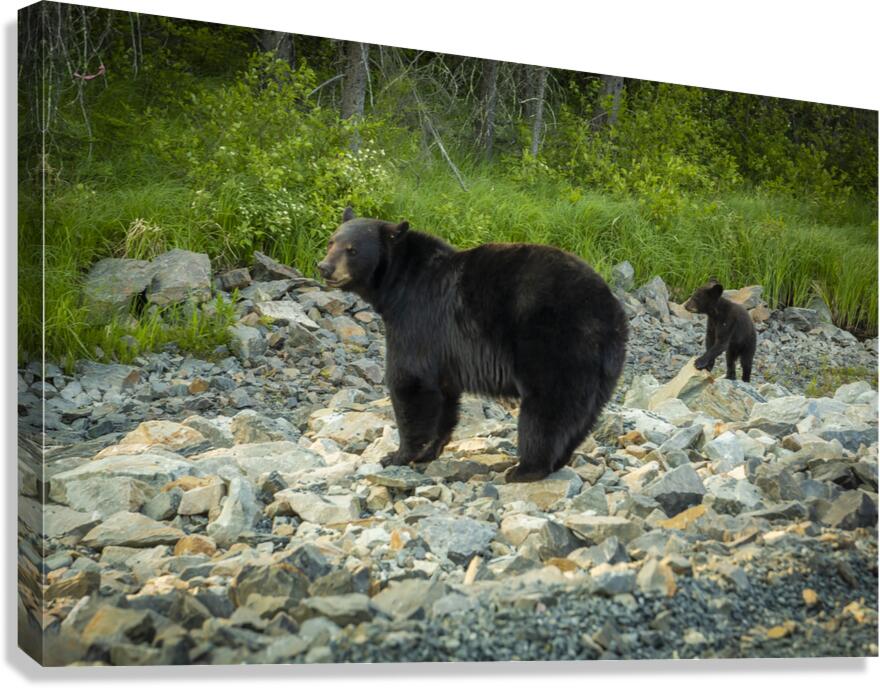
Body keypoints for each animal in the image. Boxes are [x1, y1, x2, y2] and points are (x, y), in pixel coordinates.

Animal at [316, 207, 628, 482]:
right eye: (331, 241)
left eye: (352, 249)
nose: (324, 267)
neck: (398, 283)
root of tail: (608, 310)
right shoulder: (445, 351)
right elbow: (444, 397)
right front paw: (430, 450)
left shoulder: (417, 320)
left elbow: (410, 381)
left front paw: (398, 455)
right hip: (603, 368)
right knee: (583, 415)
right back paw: (557, 460)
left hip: (554, 343)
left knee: (548, 407)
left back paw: (526, 469)